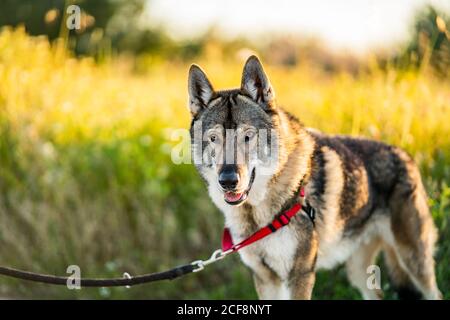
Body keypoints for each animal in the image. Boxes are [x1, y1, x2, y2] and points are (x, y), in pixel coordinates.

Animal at [186, 55, 440, 300]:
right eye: (214, 139)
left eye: (248, 136)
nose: (228, 180)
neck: (258, 216)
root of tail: (406, 155)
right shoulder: (265, 278)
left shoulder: (300, 274)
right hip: (359, 272)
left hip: (413, 261)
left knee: (434, 292)